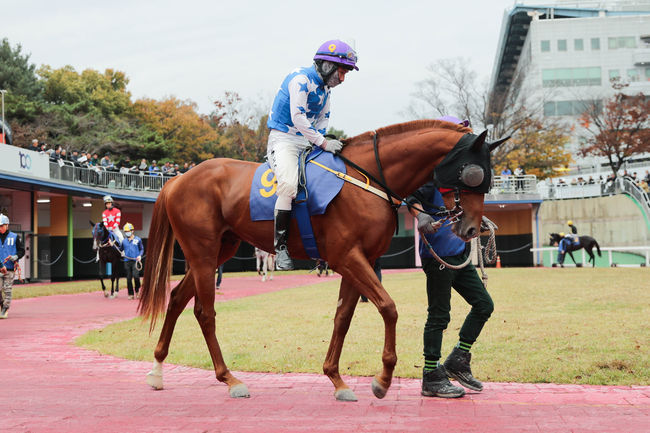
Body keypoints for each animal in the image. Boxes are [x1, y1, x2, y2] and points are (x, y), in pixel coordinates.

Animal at [139, 119, 504, 402]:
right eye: (474, 175)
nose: (472, 228)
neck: (366, 178)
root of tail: (177, 179)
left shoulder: (360, 259)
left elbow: (343, 317)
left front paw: (336, 379)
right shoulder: (347, 257)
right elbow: (388, 307)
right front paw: (383, 379)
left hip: (219, 251)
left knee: (176, 298)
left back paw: (157, 370)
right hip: (202, 252)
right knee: (204, 312)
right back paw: (229, 378)